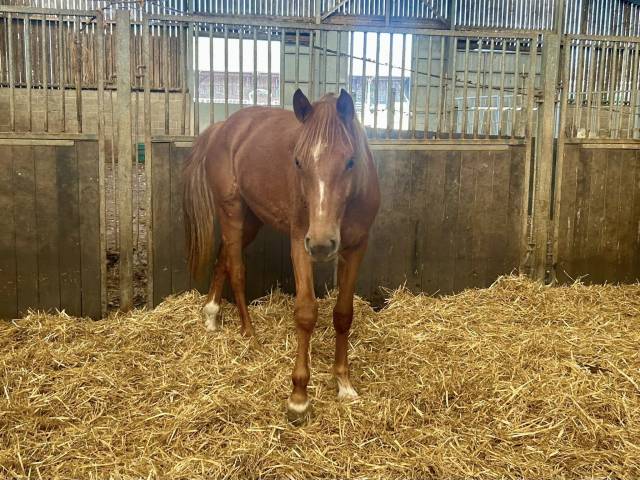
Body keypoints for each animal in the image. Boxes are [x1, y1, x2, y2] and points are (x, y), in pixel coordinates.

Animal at [182, 88, 380, 422]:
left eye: (351, 161)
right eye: (298, 162)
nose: (322, 244)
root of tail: (222, 128)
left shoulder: (356, 248)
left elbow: (343, 314)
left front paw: (343, 383)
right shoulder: (299, 242)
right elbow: (306, 313)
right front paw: (298, 397)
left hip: (251, 220)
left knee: (223, 258)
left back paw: (211, 315)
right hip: (232, 212)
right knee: (236, 269)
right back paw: (249, 334)